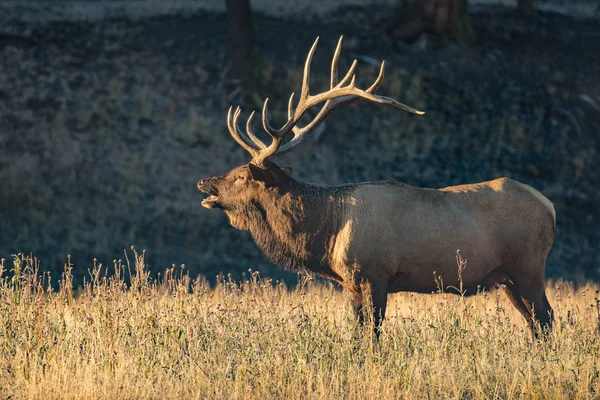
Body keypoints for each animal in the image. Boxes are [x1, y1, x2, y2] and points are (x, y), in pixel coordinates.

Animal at [199, 36, 556, 338]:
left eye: (241, 175)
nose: (204, 181)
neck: (327, 234)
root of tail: (549, 205)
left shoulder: (375, 274)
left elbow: (373, 334)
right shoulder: (352, 284)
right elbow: (357, 334)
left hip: (528, 266)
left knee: (546, 318)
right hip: (506, 277)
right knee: (536, 322)